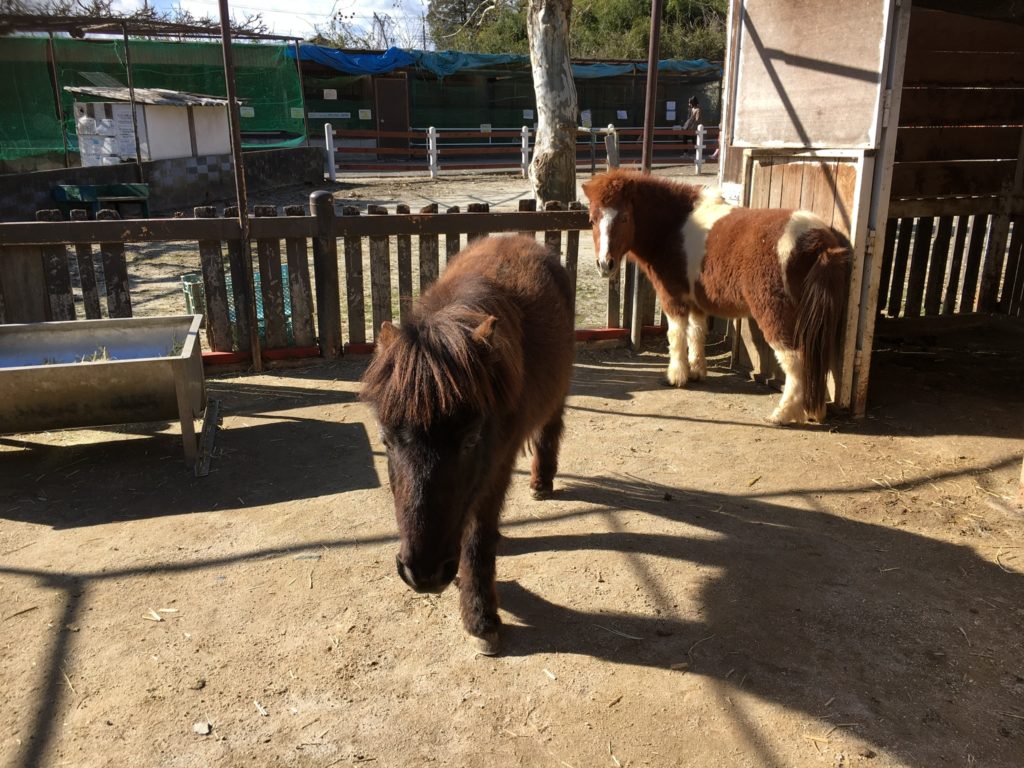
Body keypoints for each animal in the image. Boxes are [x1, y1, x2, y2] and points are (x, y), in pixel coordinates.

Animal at [358, 234, 577, 655]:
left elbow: (478, 540)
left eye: (471, 439)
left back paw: (542, 482)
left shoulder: (495, 471)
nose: (424, 574)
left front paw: (481, 619)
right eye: (384, 439)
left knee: (550, 429)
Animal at [585, 169, 847, 428]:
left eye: (624, 218)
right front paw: (696, 371)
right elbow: (697, 333)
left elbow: (676, 335)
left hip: (775, 315)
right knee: (815, 358)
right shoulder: (697, 302)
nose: (605, 265)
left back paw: (783, 413)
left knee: (795, 360)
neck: (675, 226)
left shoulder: (673, 298)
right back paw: (814, 411)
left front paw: (676, 376)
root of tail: (817, 240)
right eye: (593, 219)